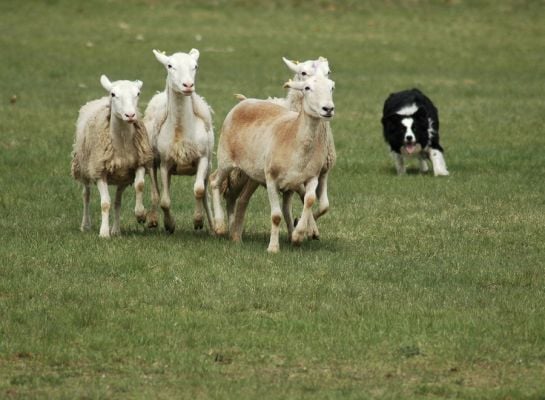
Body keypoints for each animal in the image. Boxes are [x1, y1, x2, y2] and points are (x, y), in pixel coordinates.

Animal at [70, 75, 153, 238]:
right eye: (114, 94)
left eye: (138, 93)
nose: (130, 115)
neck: (122, 142)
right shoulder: (99, 171)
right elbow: (105, 203)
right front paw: (103, 232)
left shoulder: (140, 163)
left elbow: (139, 185)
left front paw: (140, 214)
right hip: (84, 168)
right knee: (86, 195)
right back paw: (85, 225)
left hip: (122, 178)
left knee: (117, 202)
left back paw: (116, 229)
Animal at [144, 48, 215, 233]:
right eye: (170, 66)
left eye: (195, 66)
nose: (188, 86)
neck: (181, 130)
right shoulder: (165, 163)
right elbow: (165, 201)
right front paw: (170, 224)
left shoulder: (203, 158)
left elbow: (199, 190)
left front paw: (198, 220)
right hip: (153, 162)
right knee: (155, 192)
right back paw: (152, 219)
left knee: (205, 195)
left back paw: (214, 226)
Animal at [209, 73, 334, 252]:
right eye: (307, 88)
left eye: (332, 87)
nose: (328, 109)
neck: (296, 139)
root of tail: (245, 101)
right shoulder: (271, 179)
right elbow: (276, 216)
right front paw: (273, 248)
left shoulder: (312, 177)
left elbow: (309, 201)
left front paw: (298, 235)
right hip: (226, 159)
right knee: (214, 182)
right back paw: (220, 226)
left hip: (251, 174)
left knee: (241, 200)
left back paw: (235, 237)